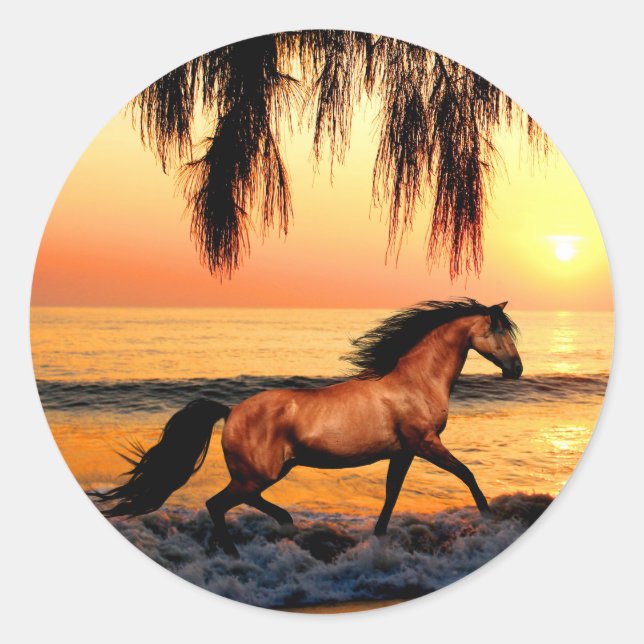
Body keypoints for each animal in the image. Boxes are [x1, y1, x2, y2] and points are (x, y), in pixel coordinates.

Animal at [91, 298, 522, 557]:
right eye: (499, 330)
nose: (516, 369)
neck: (413, 382)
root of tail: (230, 412)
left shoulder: (403, 452)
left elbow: (391, 495)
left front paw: (379, 537)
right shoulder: (425, 444)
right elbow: (467, 474)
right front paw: (488, 520)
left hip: (267, 472)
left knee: (236, 503)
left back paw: (281, 526)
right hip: (258, 474)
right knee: (218, 504)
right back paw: (247, 545)